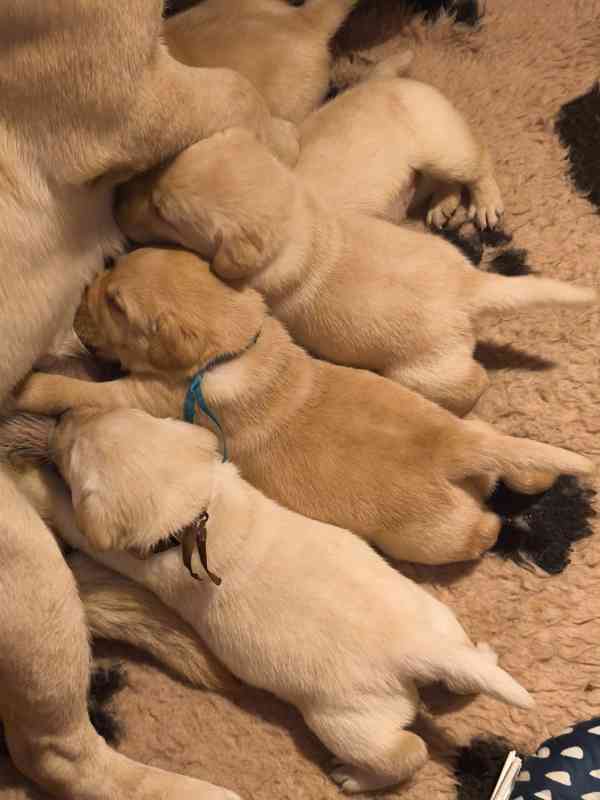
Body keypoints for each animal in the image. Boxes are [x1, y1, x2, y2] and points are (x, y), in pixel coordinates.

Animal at [14, 247, 596, 564]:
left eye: (115, 306)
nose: (79, 300)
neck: (236, 344)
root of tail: (456, 446)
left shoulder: (155, 396)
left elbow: (88, 391)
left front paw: (31, 384)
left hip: (431, 535)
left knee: (481, 530)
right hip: (475, 431)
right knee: (509, 459)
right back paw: (534, 474)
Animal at [14, 410, 532, 796]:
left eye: (72, 451)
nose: (63, 415)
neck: (194, 510)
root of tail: (422, 649)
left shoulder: (115, 548)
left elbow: (69, 516)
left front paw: (29, 481)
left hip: (348, 719)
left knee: (405, 752)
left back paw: (354, 776)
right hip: (438, 618)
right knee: (464, 664)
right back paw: (481, 658)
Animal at [113, 128, 596, 416]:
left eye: (163, 211)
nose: (117, 202)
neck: (299, 220)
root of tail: (471, 285)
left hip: (429, 368)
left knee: (473, 381)